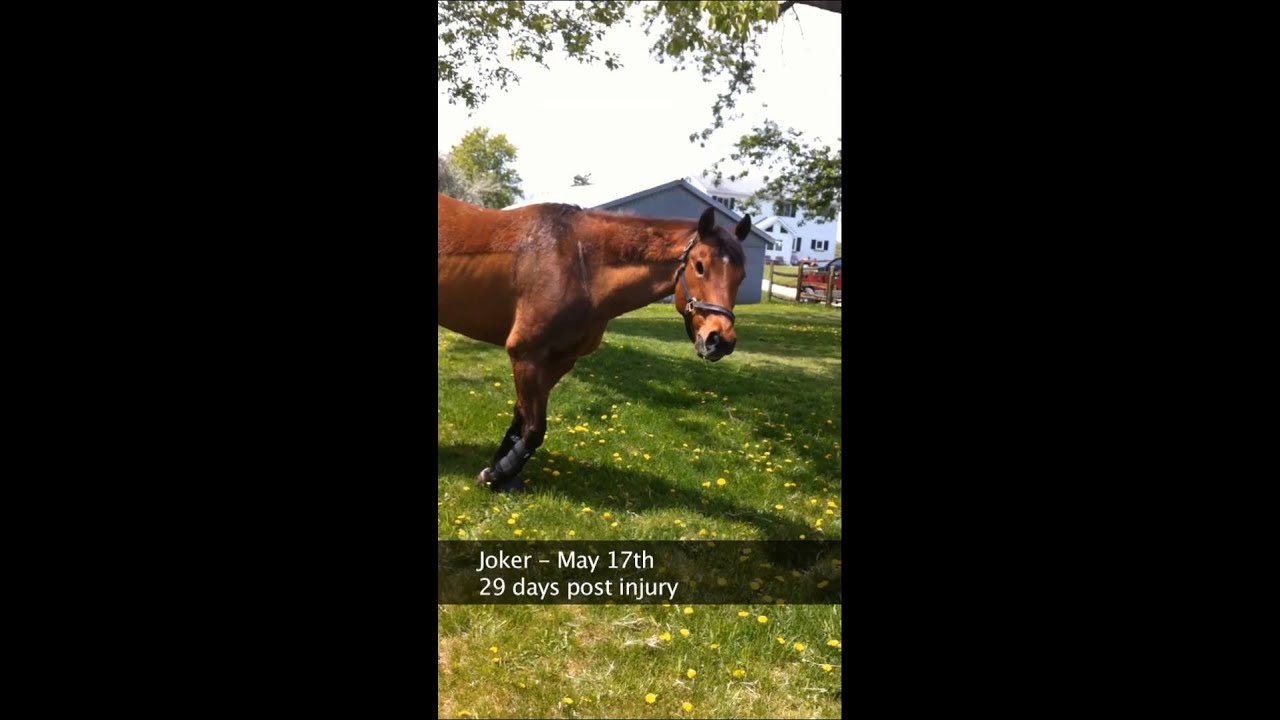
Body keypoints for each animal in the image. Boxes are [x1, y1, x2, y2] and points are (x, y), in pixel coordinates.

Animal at [438, 192, 750, 492]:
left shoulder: (561, 360)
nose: (719, 340)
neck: (579, 264)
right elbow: (534, 426)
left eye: (741, 276)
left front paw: (501, 474)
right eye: (699, 266)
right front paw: (495, 475)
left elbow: (521, 417)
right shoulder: (525, 354)